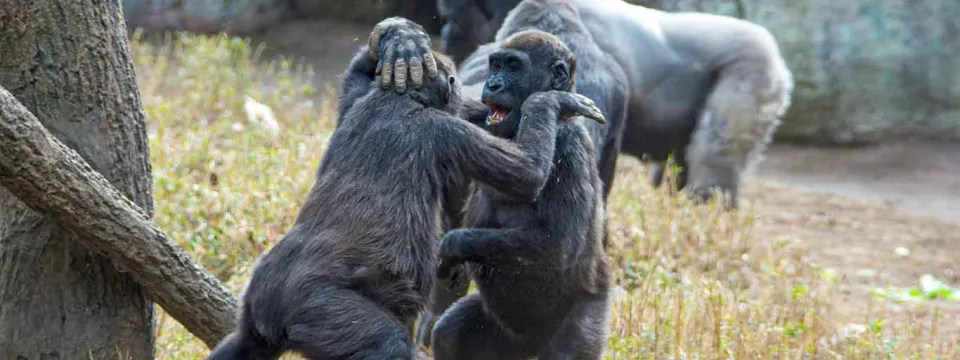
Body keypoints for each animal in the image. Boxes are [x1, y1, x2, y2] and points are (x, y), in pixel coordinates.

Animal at [206, 16, 604, 360]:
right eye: (496, 66)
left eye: (514, 67)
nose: (491, 85)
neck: (400, 98)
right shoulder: (447, 129)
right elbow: (527, 173)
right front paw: (548, 101)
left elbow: (558, 242)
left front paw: (398, 41)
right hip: (320, 309)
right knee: (386, 346)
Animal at [436, 0, 796, 208]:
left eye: (455, 16)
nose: (447, 32)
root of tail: (782, 64)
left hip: (754, 67)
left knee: (715, 157)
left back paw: (708, 206)